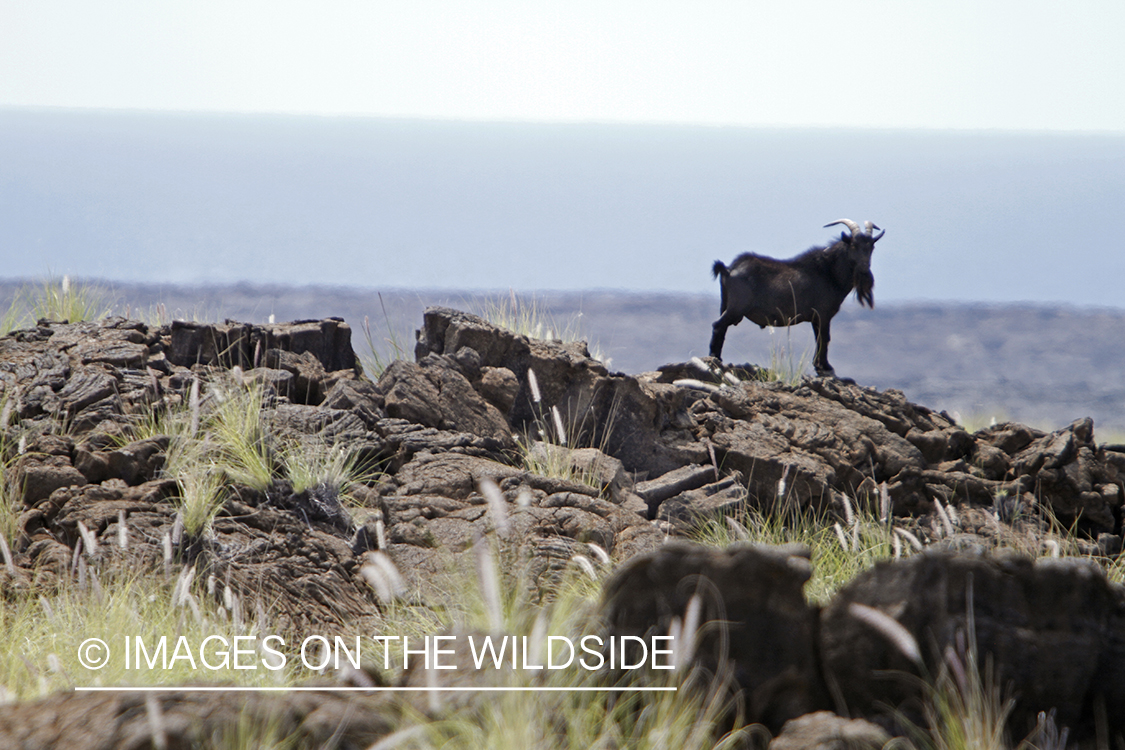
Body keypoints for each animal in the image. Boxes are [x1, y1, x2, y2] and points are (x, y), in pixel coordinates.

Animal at [706, 220, 882, 377]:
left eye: (871, 247)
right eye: (853, 245)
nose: (864, 270)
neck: (829, 272)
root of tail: (728, 269)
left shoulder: (816, 318)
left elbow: (819, 338)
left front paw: (819, 366)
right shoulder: (823, 315)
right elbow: (824, 338)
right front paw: (826, 368)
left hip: (726, 304)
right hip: (736, 307)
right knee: (717, 325)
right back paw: (715, 358)